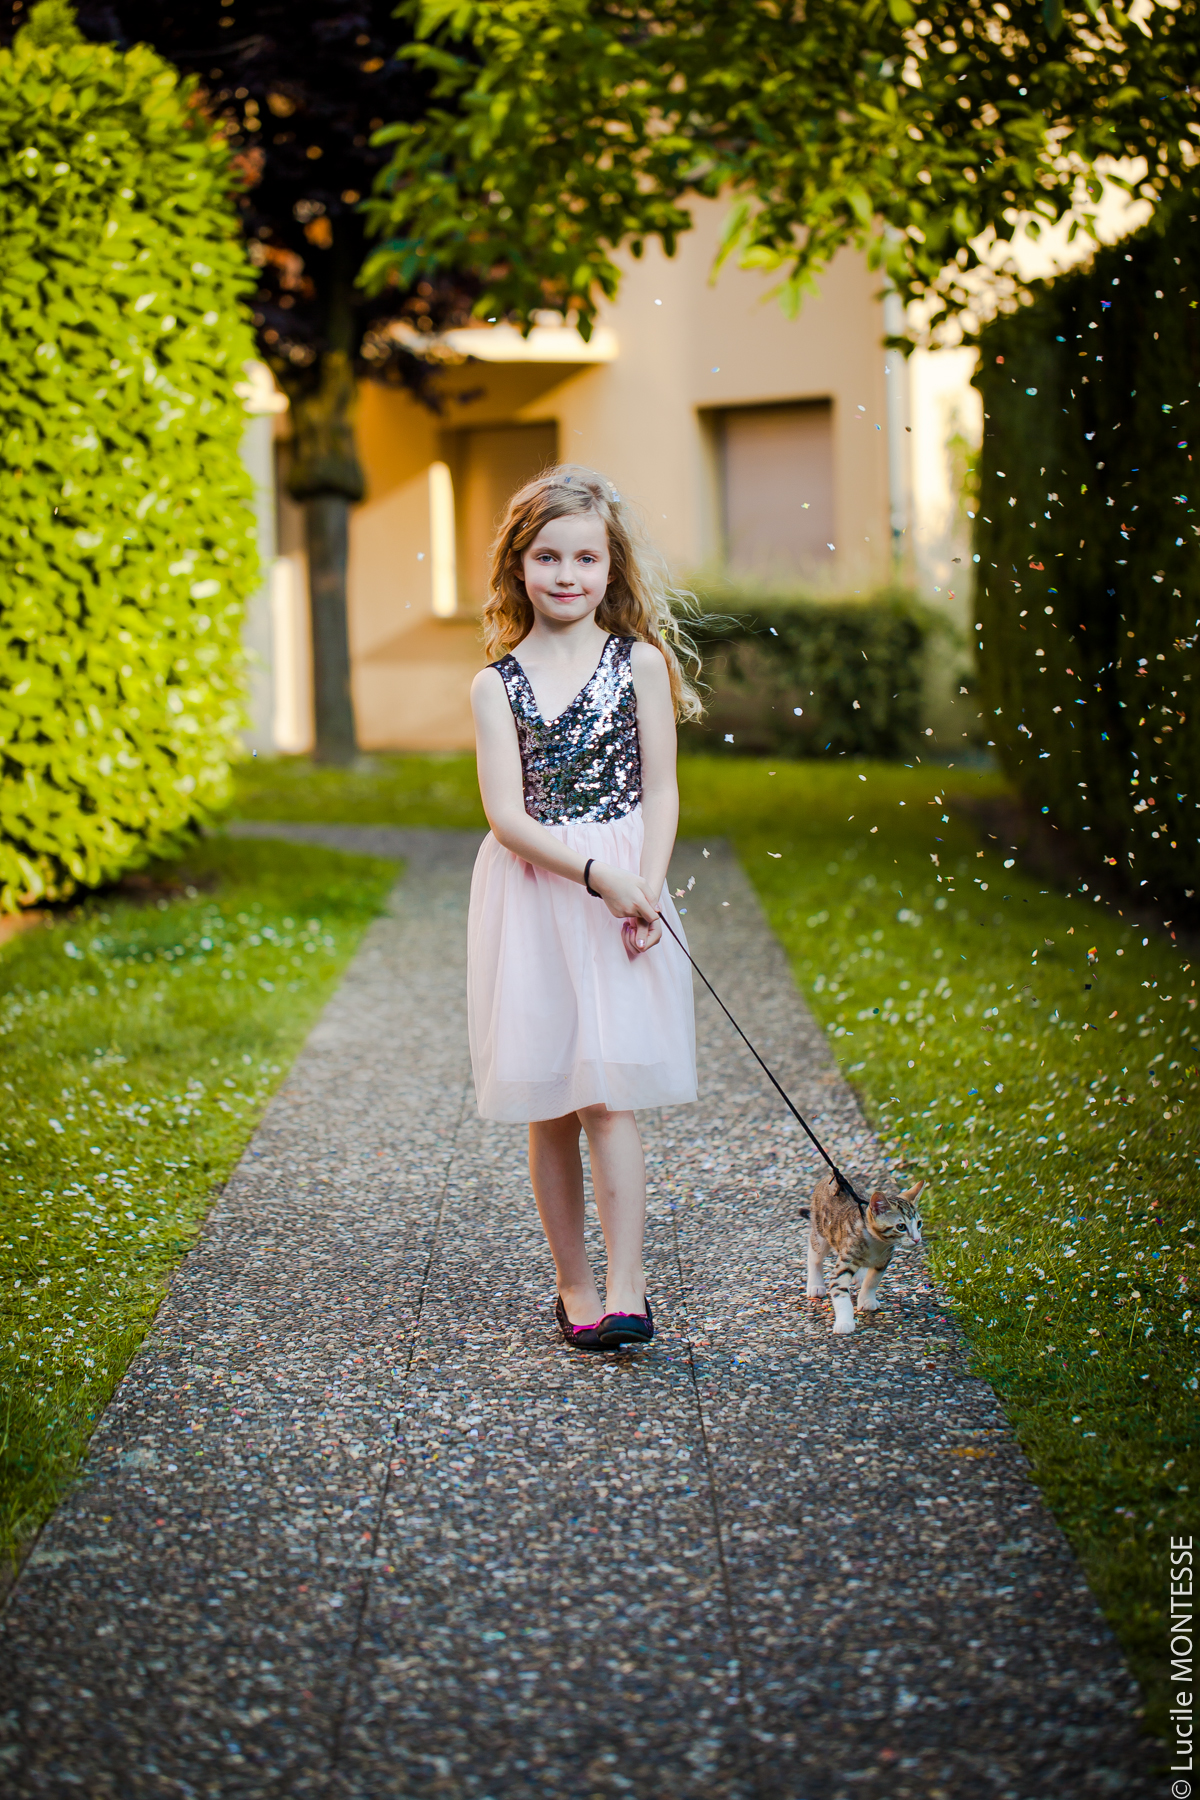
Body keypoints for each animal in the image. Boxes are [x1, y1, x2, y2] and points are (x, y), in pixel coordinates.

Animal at [802, 1173, 925, 1335]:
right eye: (901, 1227)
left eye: (919, 1224)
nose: (917, 1239)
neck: (876, 1243)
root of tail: (830, 1176)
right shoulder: (844, 1263)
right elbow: (841, 1294)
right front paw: (845, 1322)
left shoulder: (883, 1261)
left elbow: (872, 1281)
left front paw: (867, 1300)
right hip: (821, 1232)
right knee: (814, 1254)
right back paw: (815, 1284)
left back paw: (859, 1276)